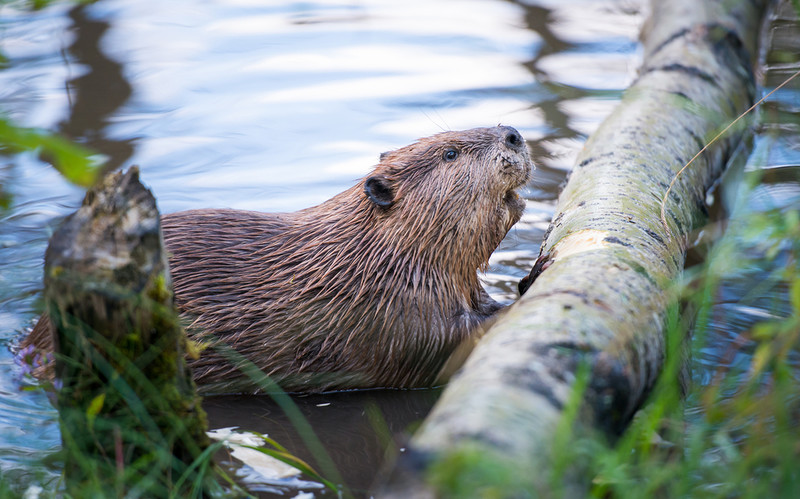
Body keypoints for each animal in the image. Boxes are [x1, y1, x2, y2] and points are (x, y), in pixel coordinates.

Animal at [28, 126, 536, 394]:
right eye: (450, 152)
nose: (513, 133)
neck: (369, 257)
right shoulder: (385, 311)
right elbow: (436, 344)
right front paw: (518, 302)